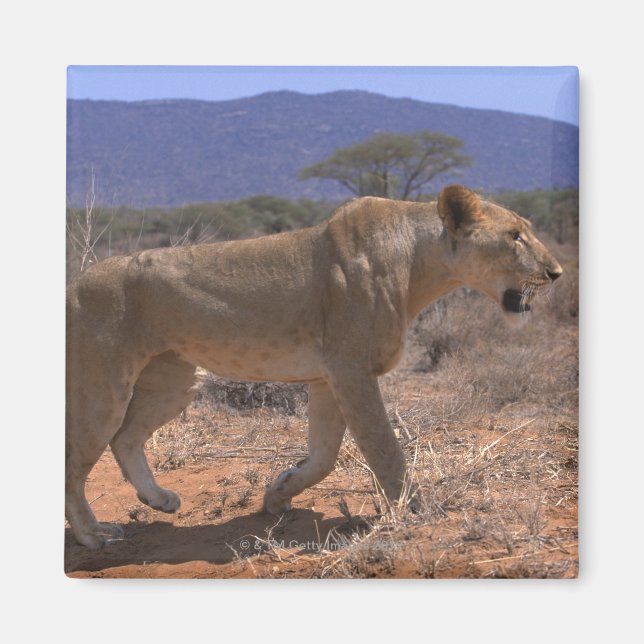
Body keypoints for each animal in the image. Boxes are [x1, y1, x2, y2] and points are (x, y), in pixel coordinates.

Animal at [66, 184, 562, 548]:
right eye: (515, 235)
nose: (556, 272)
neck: (421, 263)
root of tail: (73, 282)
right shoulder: (351, 370)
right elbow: (384, 448)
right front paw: (417, 510)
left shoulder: (327, 378)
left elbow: (323, 457)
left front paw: (278, 494)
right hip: (102, 386)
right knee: (76, 459)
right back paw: (94, 535)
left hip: (175, 380)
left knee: (126, 438)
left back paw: (159, 501)